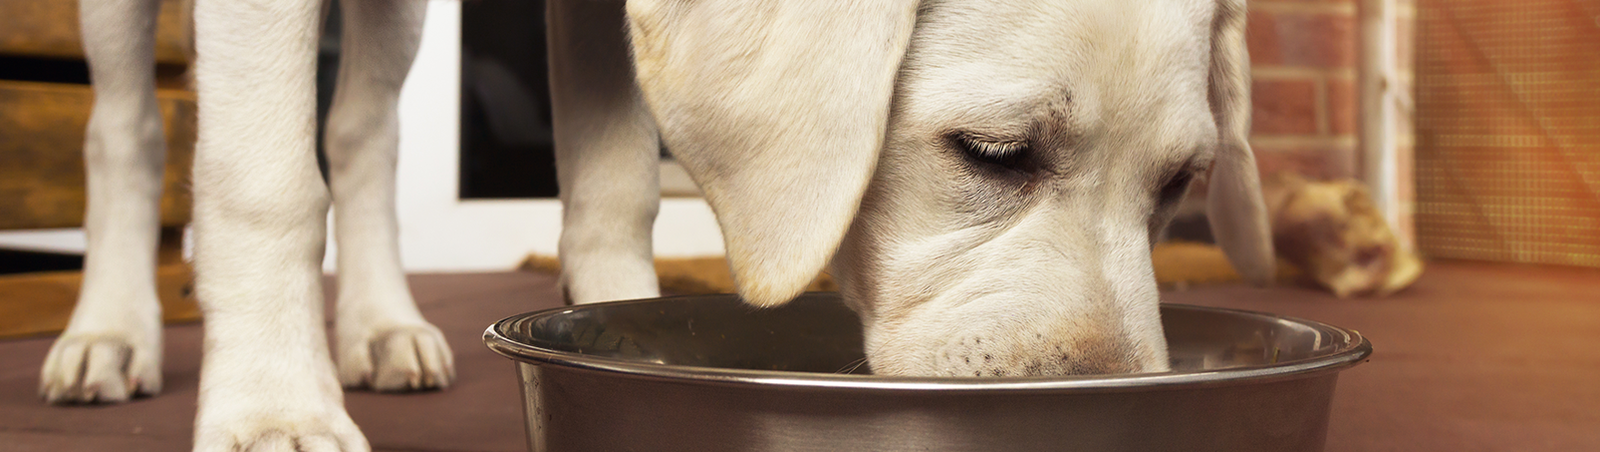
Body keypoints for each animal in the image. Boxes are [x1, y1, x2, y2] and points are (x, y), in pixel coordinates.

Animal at [40, 0, 1273, 445]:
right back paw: (108, 332)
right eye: (995, 154)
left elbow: (613, 188)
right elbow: (261, 185)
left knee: (362, 134)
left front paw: (615, 333)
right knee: (122, 134)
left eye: (1177, 186)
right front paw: (271, 410)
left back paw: (382, 325)